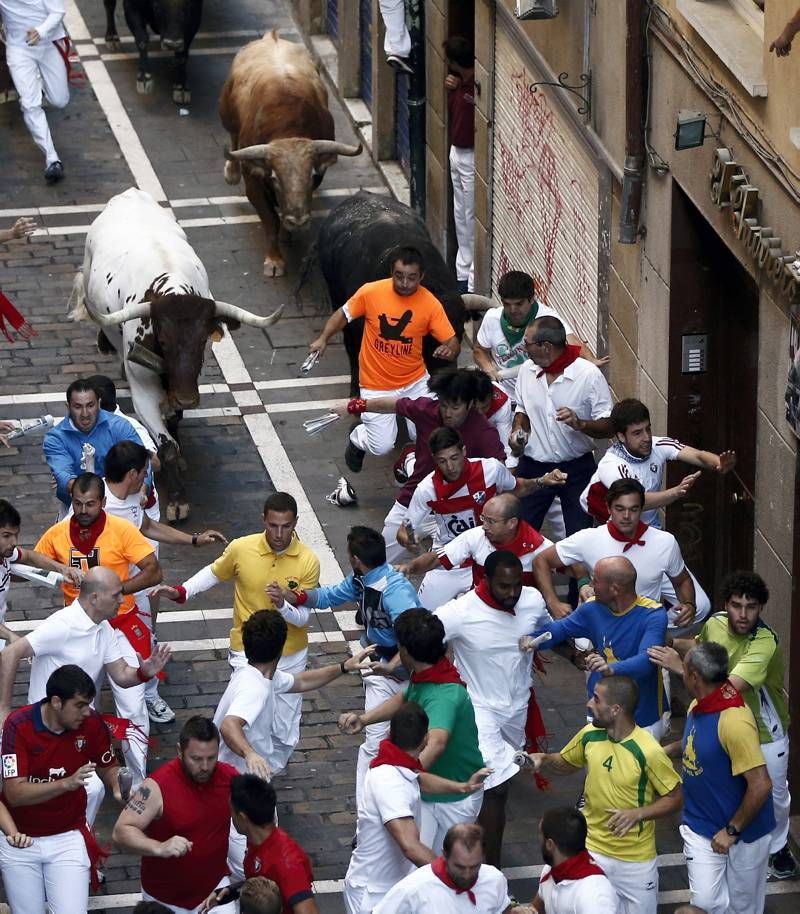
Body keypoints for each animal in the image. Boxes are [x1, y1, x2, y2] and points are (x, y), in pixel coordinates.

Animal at [219, 29, 362, 278]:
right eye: (274, 178)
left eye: (313, 176)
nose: (298, 220)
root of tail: (271, 37)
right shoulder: (254, 184)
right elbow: (270, 221)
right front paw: (274, 260)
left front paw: (288, 231)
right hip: (226, 114)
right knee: (233, 136)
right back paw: (232, 172)